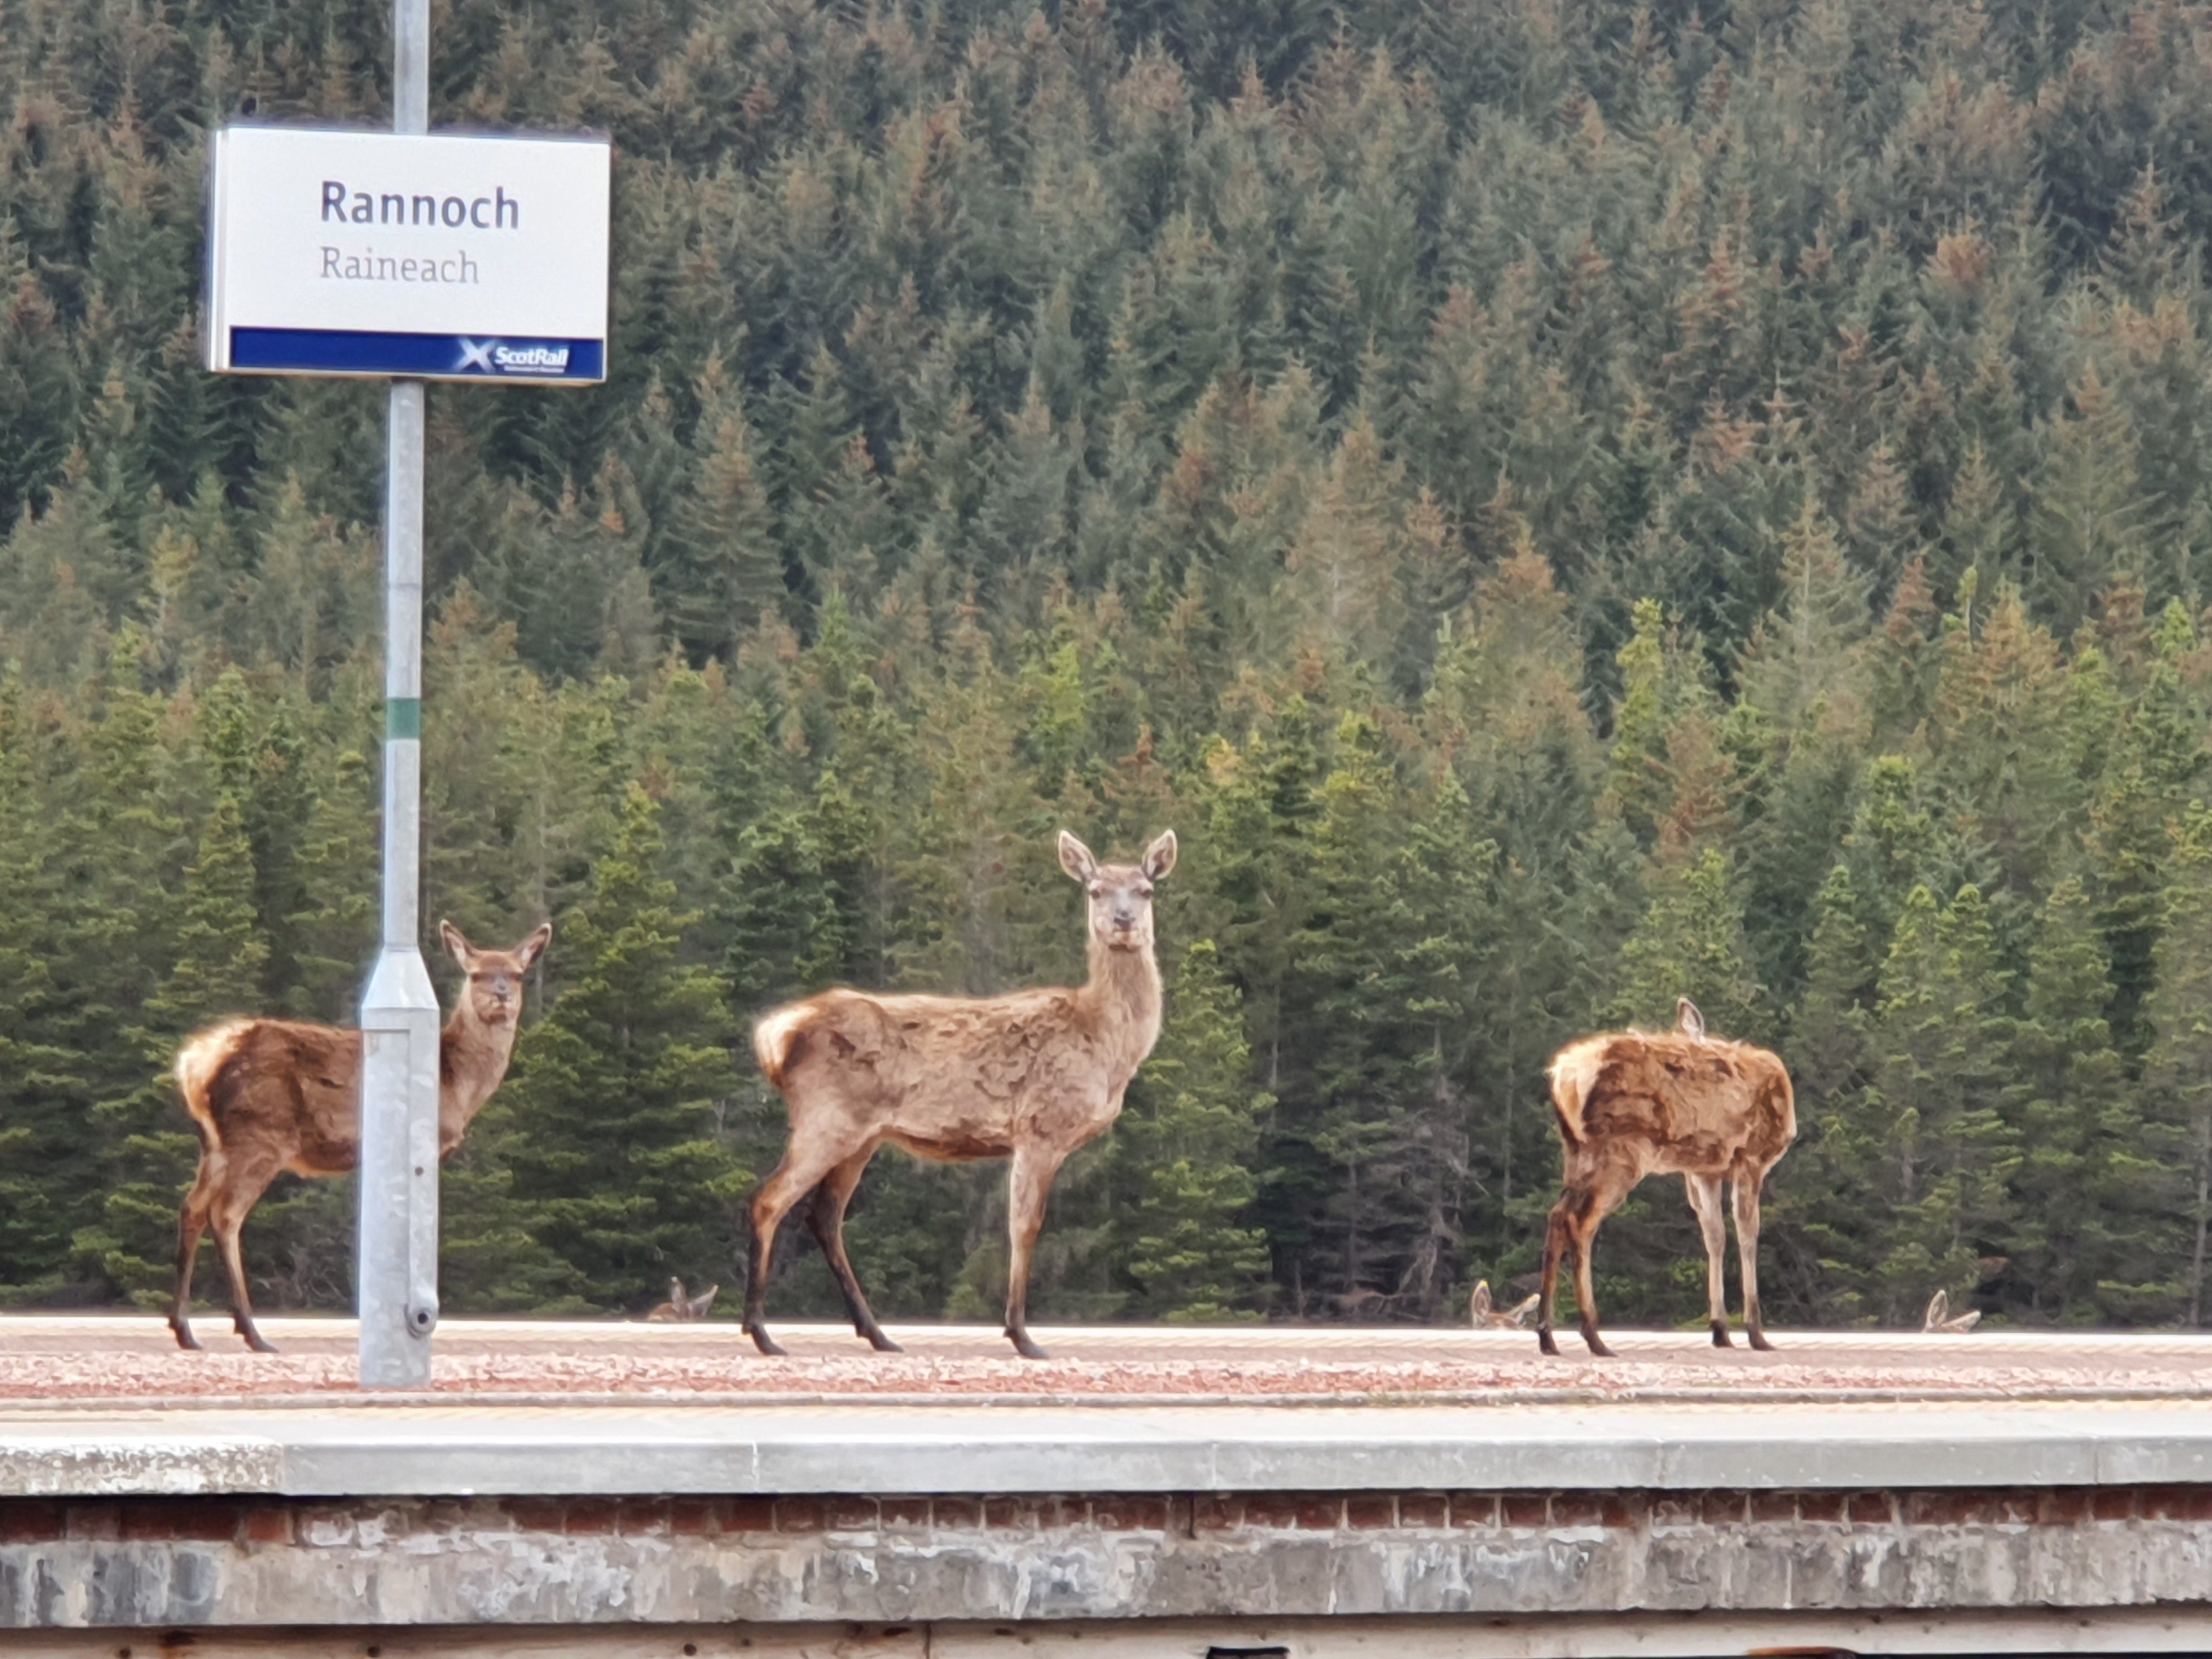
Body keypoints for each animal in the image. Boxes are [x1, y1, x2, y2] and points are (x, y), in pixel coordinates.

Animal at [167, 916, 553, 1353]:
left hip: (215, 1144)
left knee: (193, 1208)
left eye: (517, 974)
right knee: (226, 1214)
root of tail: (196, 1063)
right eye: (476, 974)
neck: (457, 1083)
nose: (501, 994)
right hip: (260, 1135)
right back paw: (251, 1331)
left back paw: (185, 1329)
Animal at [747, 832, 1177, 1362]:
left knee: (824, 1216)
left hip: (862, 1135)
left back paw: (877, 1333)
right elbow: (1024, 1226)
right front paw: (1021, 1334)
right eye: (1095, 890)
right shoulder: (1040, 1127)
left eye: (1146, 890)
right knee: (769, 1201)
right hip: (826, 1118)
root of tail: (777, 1033)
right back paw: (762, 1331)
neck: (1109, 1047)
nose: (1123, 921)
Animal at [1539, 1000, 1796, 1362]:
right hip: (1621, 1153)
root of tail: (1565, 1078)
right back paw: (1593, 1335)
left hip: (1577, 1152)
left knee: (1558, 1215)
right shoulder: (1752, 1158)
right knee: (1581, 1223)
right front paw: (1755, 1331)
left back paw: (1547, 1334)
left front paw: (1720, 1328)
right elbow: (1748, 1233)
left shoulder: (1704, 1169)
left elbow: (1715, 1235)